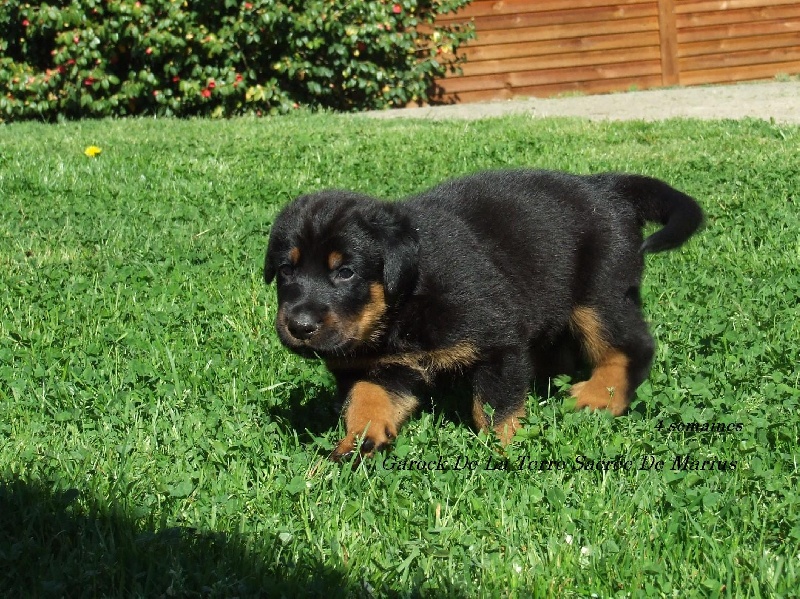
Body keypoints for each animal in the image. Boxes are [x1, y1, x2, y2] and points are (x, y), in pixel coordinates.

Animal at [262, 171, 700, 462]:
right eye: (285, 270)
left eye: (346, 272)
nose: (299, 326)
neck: (403, 302)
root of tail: (605, 187)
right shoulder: (376, 367)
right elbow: (367, 401)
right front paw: (358, 444)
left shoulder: (498, 344)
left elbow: (492, 408)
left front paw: (504, 451)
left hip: (600, 294)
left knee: (631, 346)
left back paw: (598, 397)